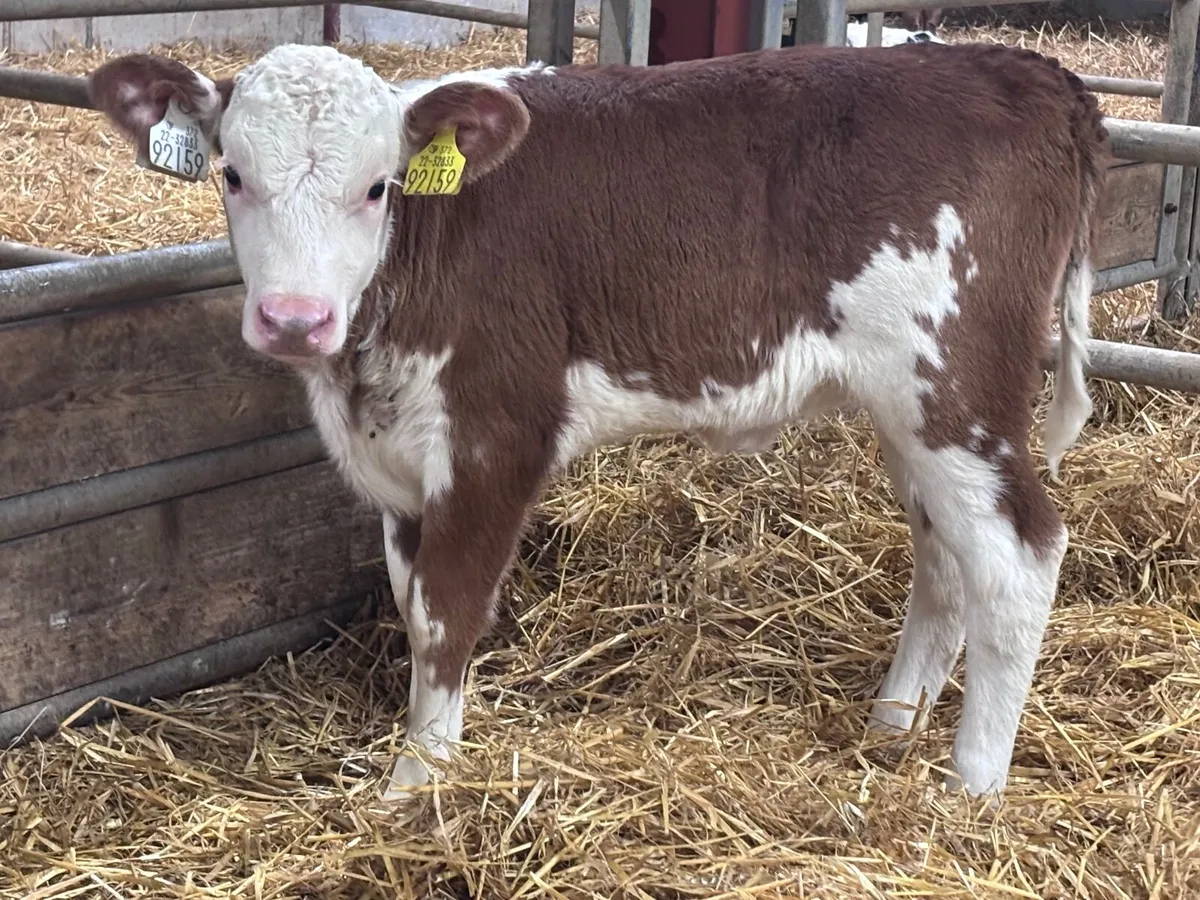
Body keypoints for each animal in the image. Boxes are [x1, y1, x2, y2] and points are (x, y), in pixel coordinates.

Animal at [88, 39, 1105, 802]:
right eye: (231, 174)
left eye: (379, 187)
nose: (295, 318)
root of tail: (1024, 69)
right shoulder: (399, 469)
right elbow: (415, 611)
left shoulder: (497, 431)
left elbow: (450, 613)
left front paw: (416, 786)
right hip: (910, 411)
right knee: (944, 560)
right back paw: (890, 729)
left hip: (957, 386)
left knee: (1018, 556)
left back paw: (970, 787)